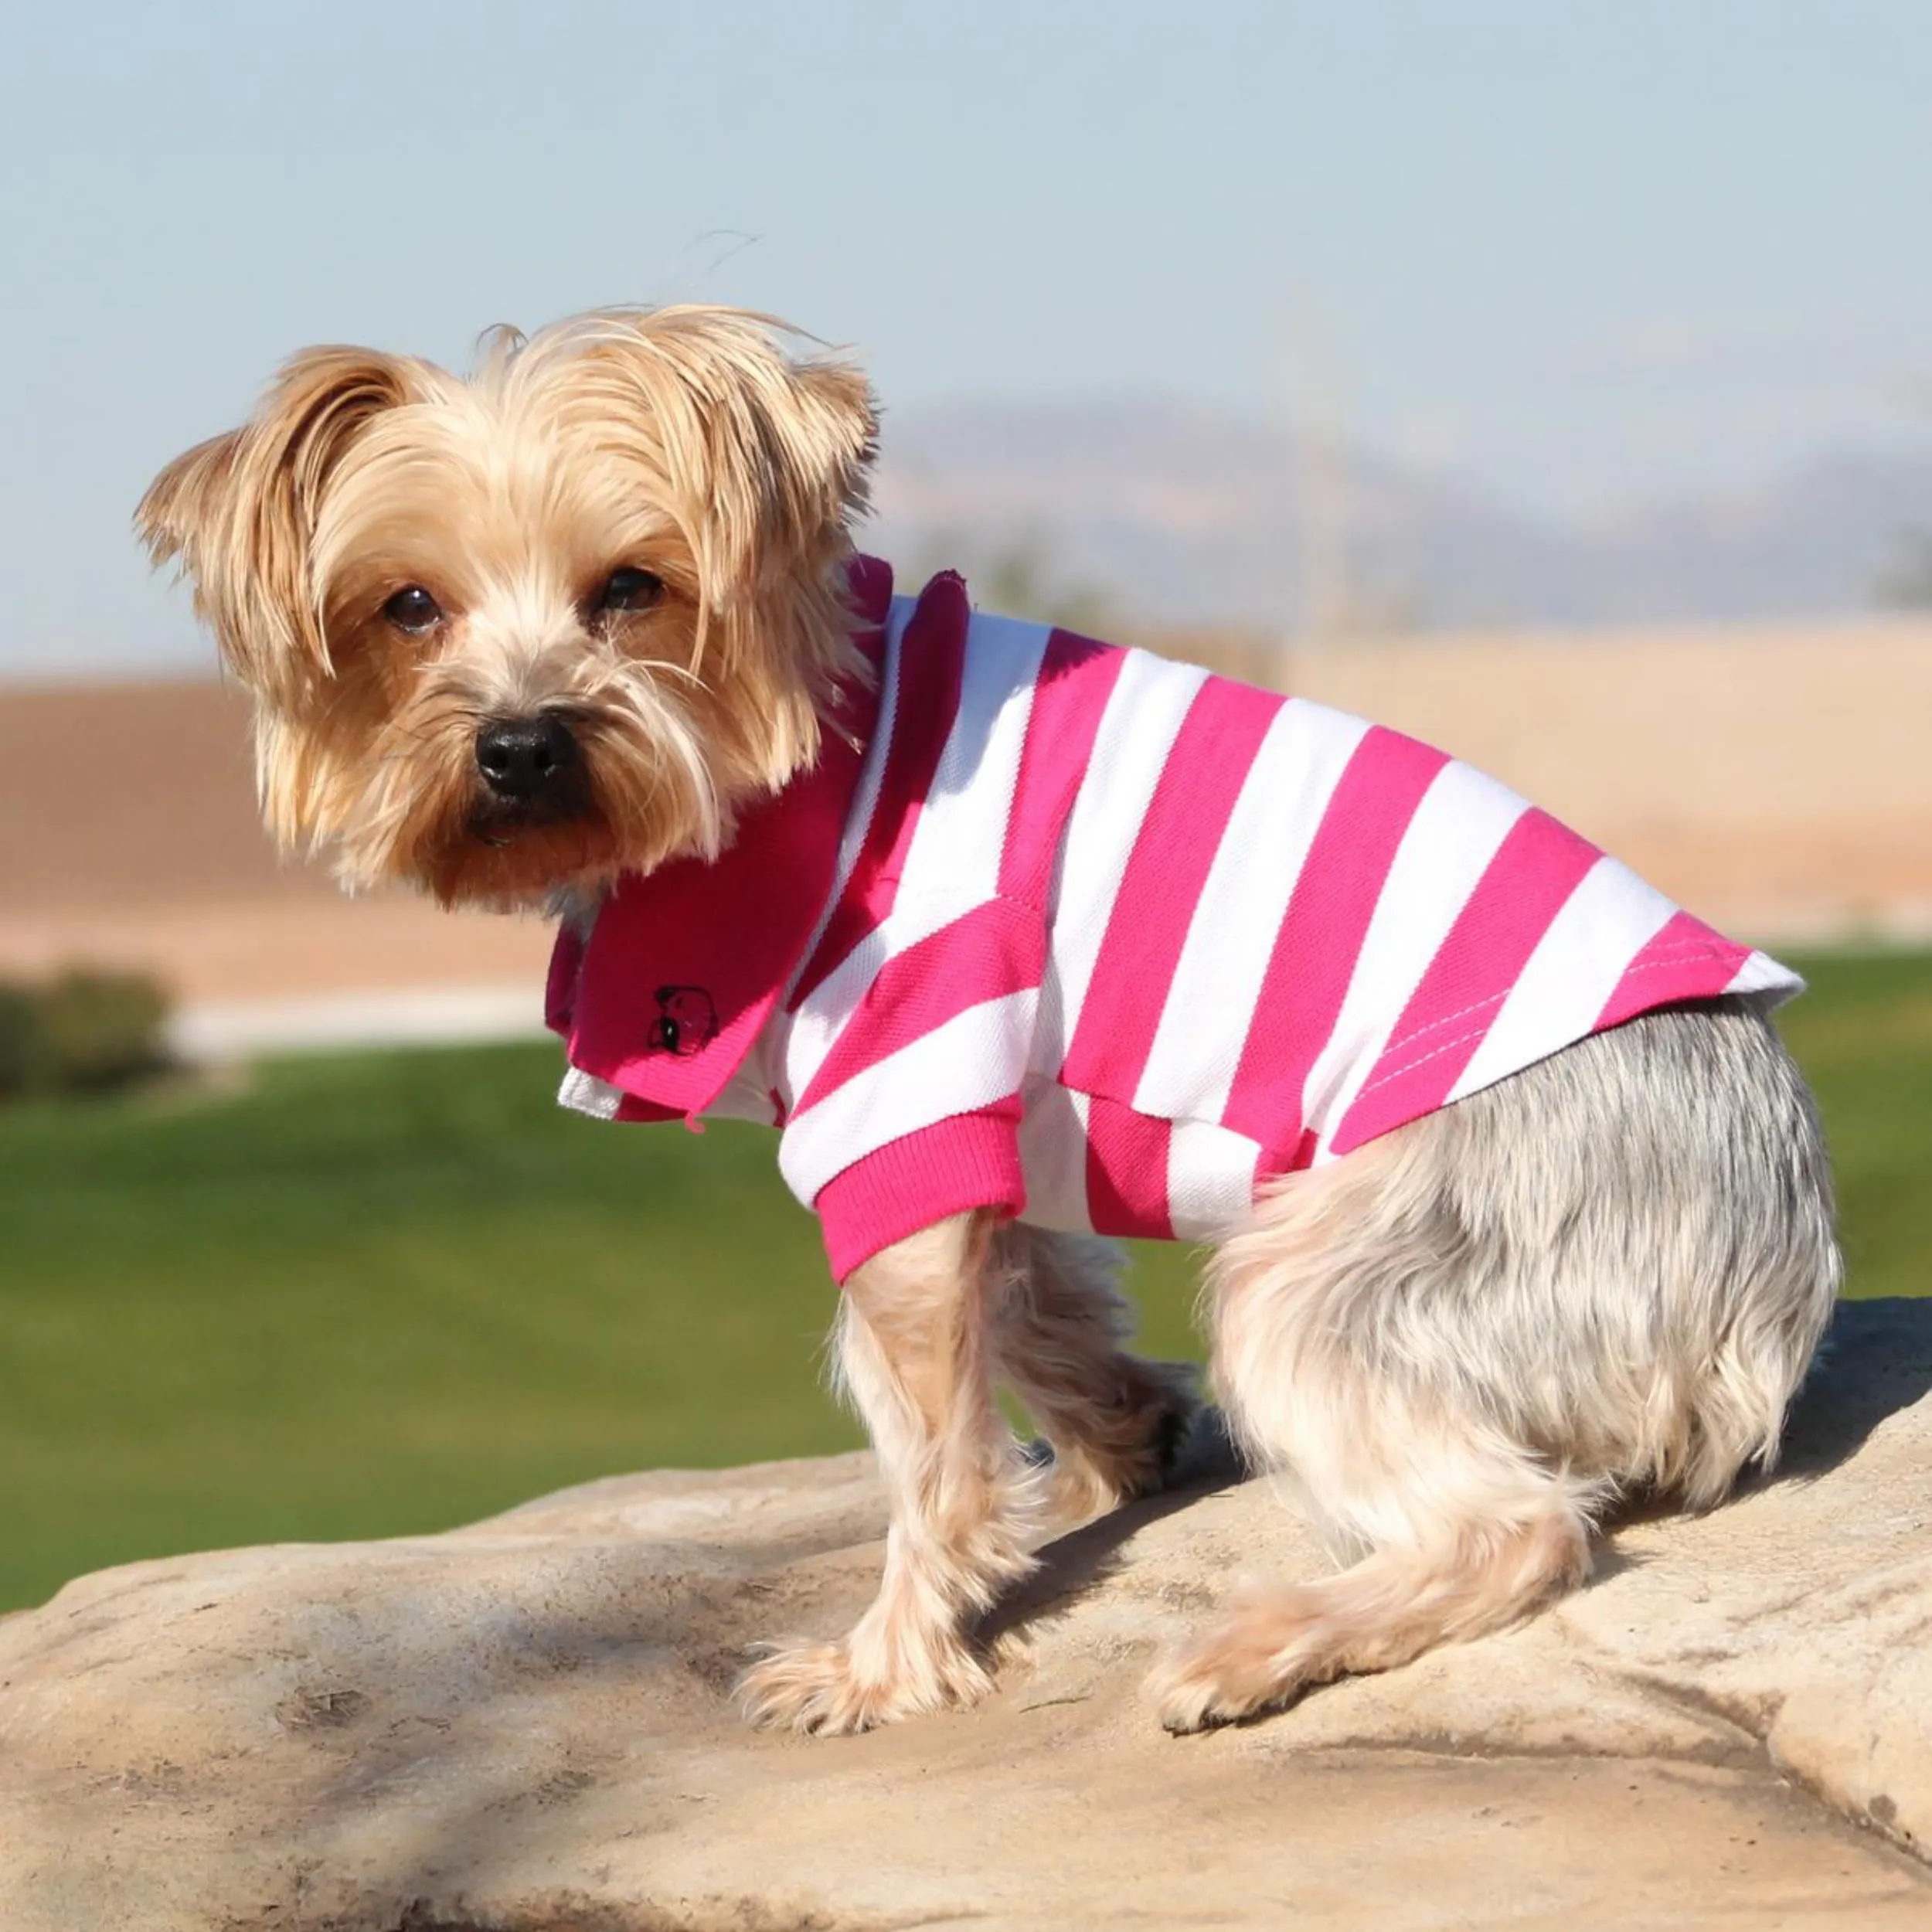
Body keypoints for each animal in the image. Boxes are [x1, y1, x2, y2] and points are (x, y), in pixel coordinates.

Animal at [140, 305, 1839, 1739]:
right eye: (406, 609)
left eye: (634, 585)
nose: (518, 747)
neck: (800, 761)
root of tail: (1768, 1283)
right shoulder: (988, 1125)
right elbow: (1032, 1300)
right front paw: (1125, 1447)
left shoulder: (898, 1084)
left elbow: (925, 1440)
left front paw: (881, 1665)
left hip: (1349, 1268)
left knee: (1517, 1526)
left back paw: (1256, 1646)